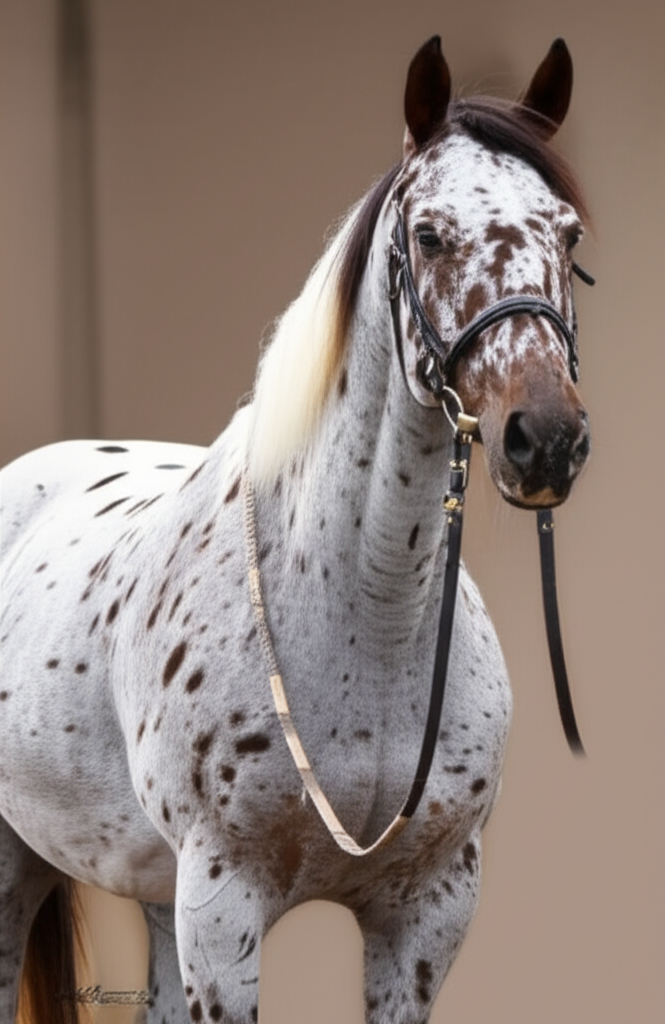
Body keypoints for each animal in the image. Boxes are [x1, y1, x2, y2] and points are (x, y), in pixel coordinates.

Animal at [0, 35, 591, 1024]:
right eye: (428, 235)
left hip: (154, 898)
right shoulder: (222, 905)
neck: (368, 615)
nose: (544, 438)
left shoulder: (426, 914)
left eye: (569, 234)